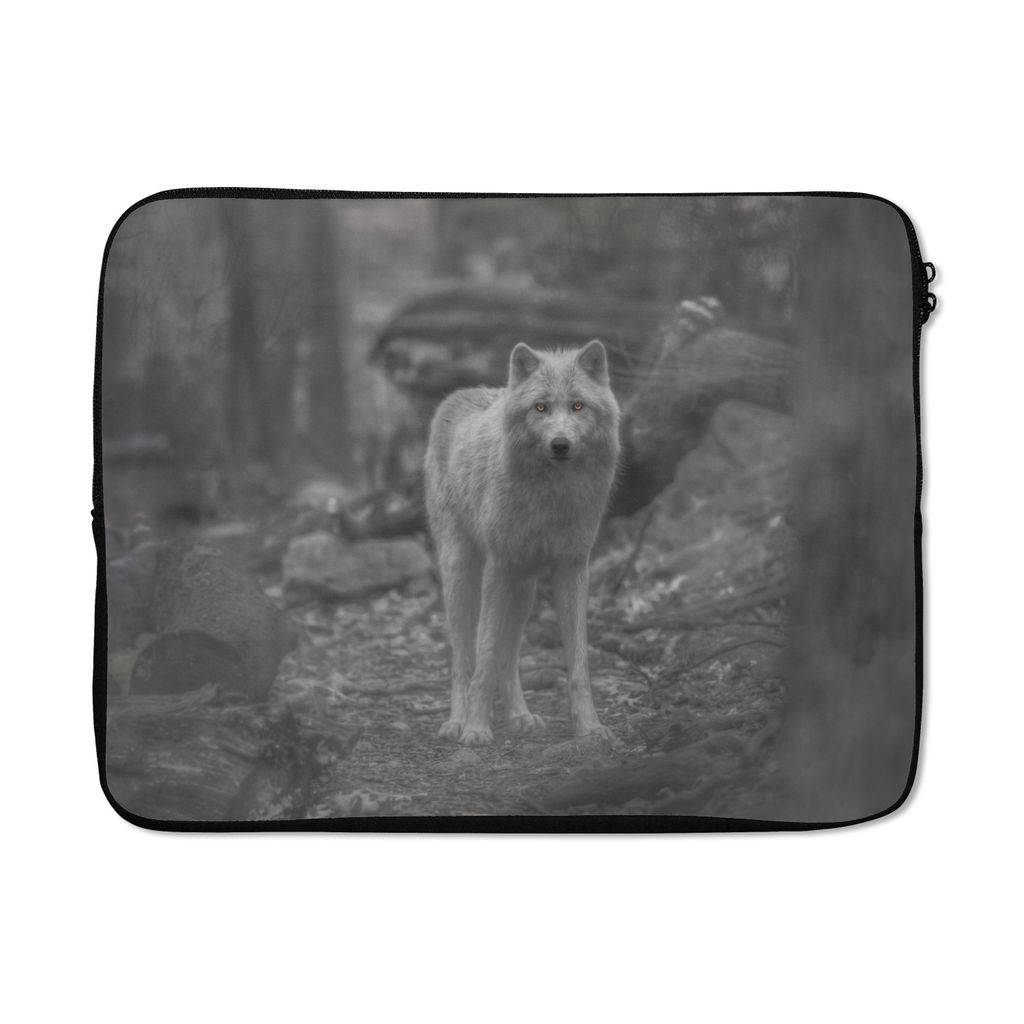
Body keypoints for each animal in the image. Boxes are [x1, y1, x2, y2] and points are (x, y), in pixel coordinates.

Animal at [425, 339, 620, 746]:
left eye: (578, 406)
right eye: (541, 407)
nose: (560, 444)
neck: (551, 498)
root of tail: (459, 394)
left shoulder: (572, 568)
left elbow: (578, 665)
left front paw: (590, 729)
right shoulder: (498, 568)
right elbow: (482, 661)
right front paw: (476, 729)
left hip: (524, 588)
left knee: (508, 658)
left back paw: (521, 716)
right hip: (463, 574)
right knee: (463, 659)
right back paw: (456, 722)